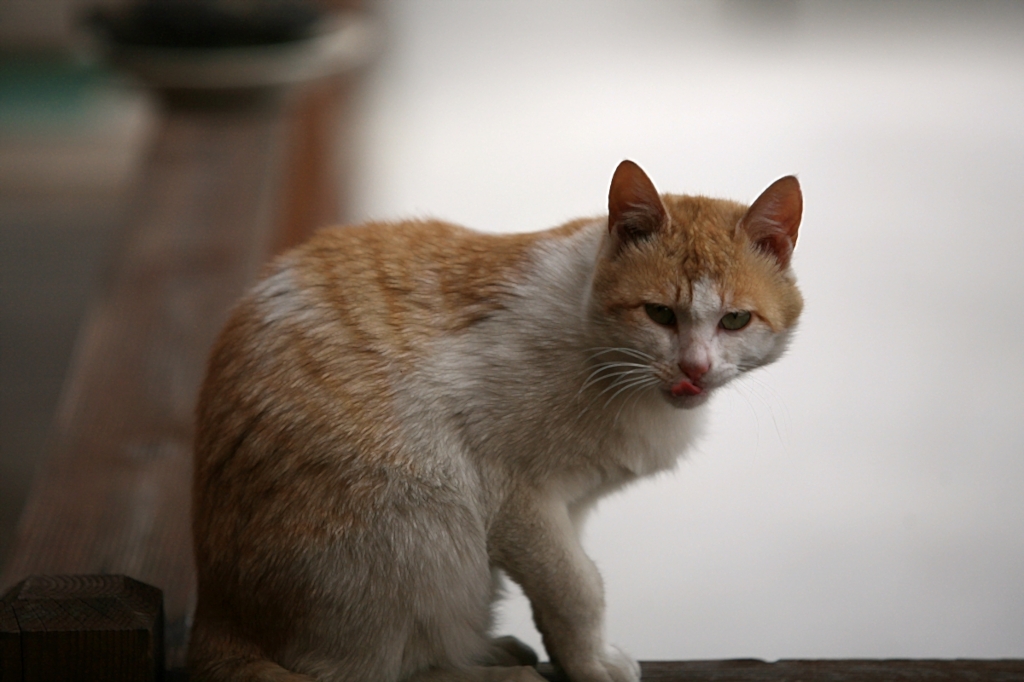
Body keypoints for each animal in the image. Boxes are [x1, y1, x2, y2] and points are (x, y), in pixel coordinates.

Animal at [188, 159, 802, 679]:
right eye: (659, 314)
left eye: (735, 320)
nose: (694, 369)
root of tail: (217, 614)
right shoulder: (513, 495)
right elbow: (578, 587)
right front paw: (591, 664)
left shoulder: (571, 504)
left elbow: (563, 584)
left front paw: (570, 656)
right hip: (426, 526)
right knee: (367, 666)